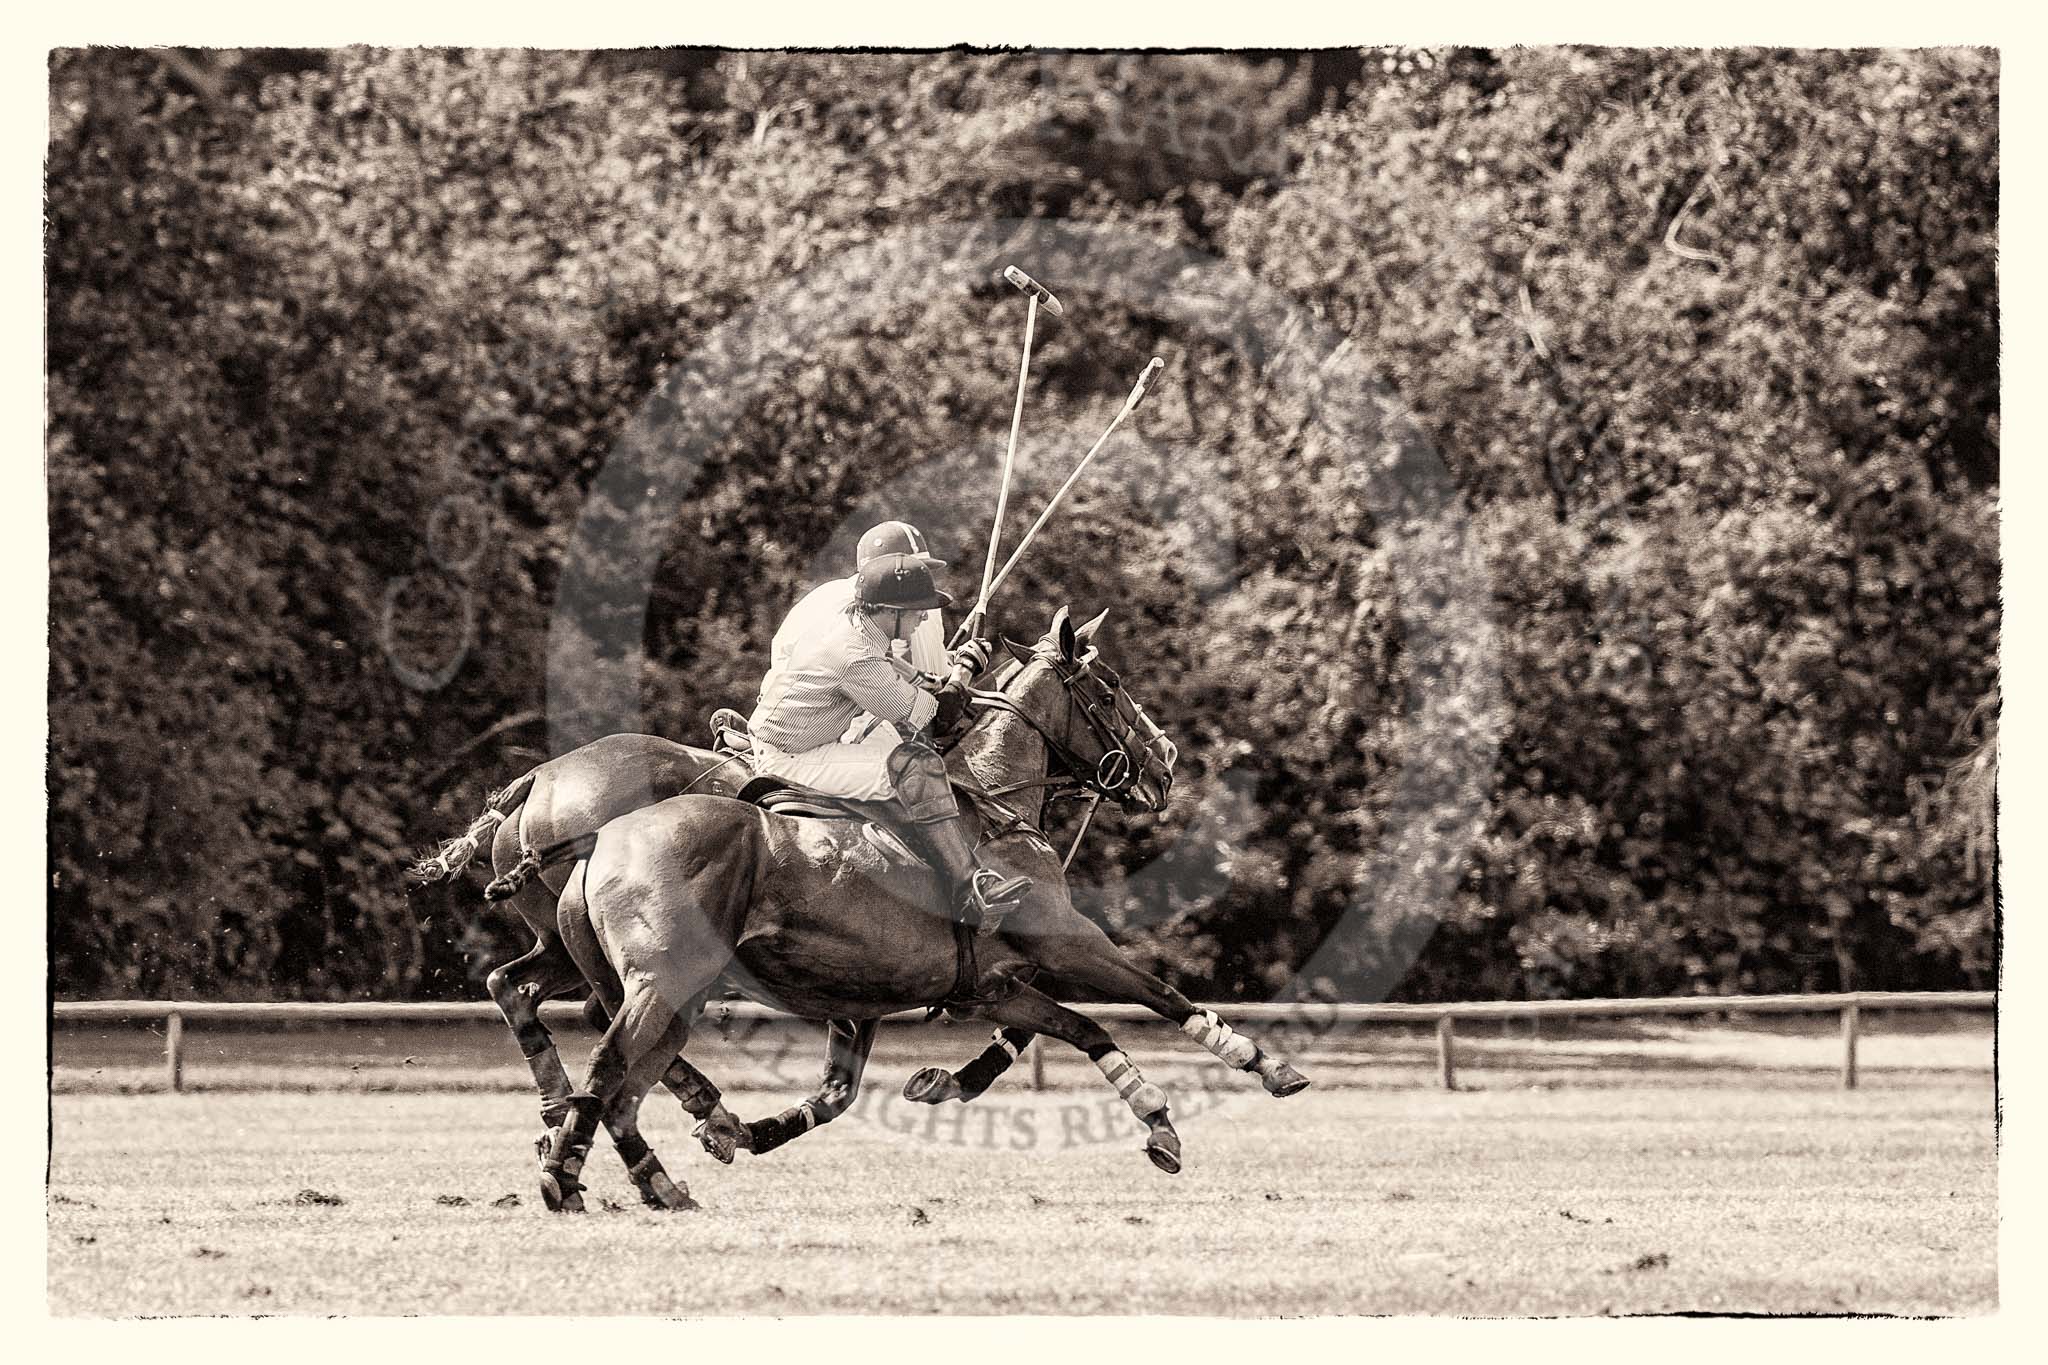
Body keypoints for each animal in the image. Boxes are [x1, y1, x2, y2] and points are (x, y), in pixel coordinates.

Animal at [536, 613, 1310, 1211]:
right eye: (1111, 687)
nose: (1166, 762)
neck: (995, 804)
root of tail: (597, 838)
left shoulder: (984, 986)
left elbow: (1080, 1030)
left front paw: (1157, 1122)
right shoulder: (1068, 942)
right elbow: (1160, 995)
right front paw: (1265, 1066)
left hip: (672, 991)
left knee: (628, 1083)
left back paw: (660, 1175)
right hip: (665, 981)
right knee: (609, 1065)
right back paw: (564, 1175)